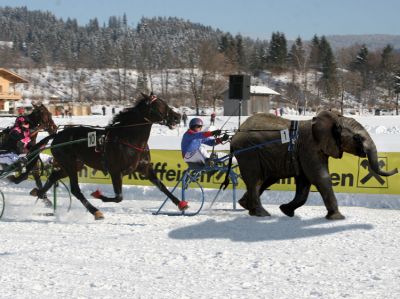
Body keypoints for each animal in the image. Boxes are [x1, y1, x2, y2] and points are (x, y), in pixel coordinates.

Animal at [29, 92, 189, 219]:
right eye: (158, 106)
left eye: (164, 103)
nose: (177, 117)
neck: (129, 139)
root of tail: (57, 135)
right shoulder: (115, 171)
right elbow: (119, 197)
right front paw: (98, 195)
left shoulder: (144, 169)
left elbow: (161, 186)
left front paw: (181, 204)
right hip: (69, 164)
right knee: (75, 189)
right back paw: (95, 211)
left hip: (74, 165)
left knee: (53, 176)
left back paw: (39, 192)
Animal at [230, 110, 398, 220]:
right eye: (357, 137)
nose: (396, 169)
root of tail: (236, 133)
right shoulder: (310, 148)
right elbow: (319, 177)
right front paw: (338, 218)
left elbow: (304, 183)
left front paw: (286, 211)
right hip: (248, 153)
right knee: (255, 180)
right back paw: (261, 214)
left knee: (265, 180)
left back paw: (246, 207)